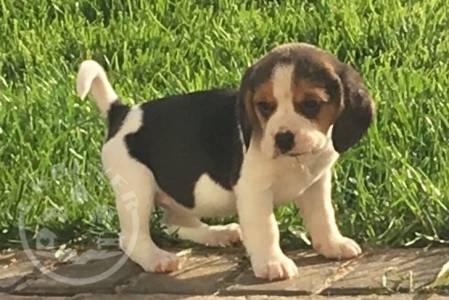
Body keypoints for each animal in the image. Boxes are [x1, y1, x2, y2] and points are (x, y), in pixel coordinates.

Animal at [76, 42, 372, 282]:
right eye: (264, 106)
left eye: (311, 104)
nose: (283, 137)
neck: (295, 161)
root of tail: (122, 113)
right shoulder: (253, 191)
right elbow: (267, 228)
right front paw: (272, 263)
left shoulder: (316, 183)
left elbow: (323, 216)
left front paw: (332, 244)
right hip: (137, 188)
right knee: (131, 238)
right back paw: (156, 258)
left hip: (179, 193)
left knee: (175, 223)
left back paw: (216, 233)